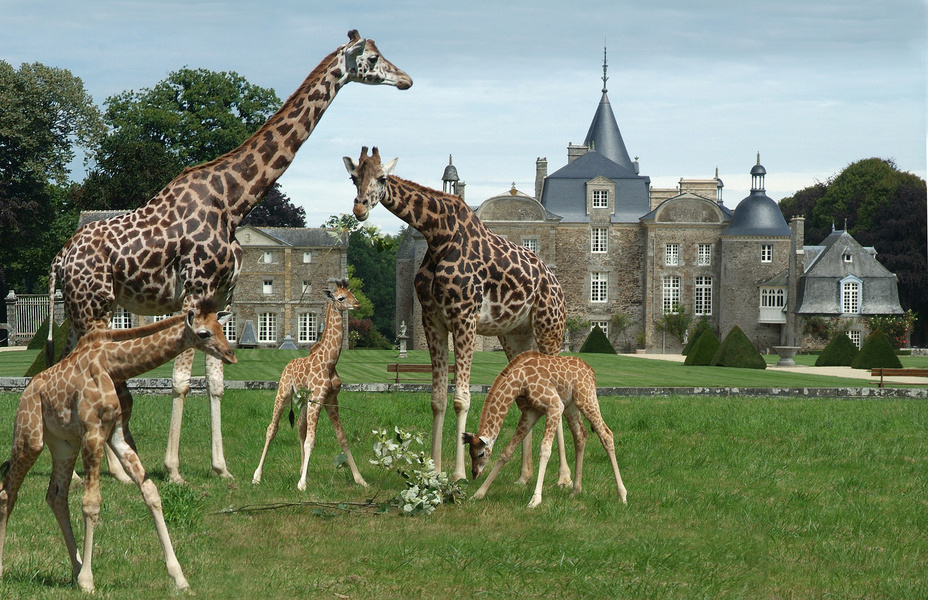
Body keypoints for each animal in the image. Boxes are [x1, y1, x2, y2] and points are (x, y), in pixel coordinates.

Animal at [0, 298, 236, 592]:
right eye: (204, 333)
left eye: (222, 328)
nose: (230, 354)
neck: (113, 365)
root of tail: (26, 391)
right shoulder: (93, 432)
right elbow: (91, 503)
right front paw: (88, 582)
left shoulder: (116, 434)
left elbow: (150, 492)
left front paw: (180, 578)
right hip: (30, 436)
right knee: (8, 492)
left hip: (64, 444)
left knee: (55, 496)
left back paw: (76, 567)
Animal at [254, 278, 370, 490]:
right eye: (341, 298)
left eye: (352, 294)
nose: (357, 304)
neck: (330, 362)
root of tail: (287, 365)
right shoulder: (318, 397)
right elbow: (311, 440)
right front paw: (302, 484)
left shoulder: (331, 399)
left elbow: (342, 438)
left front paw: (360, 479)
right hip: (283, 392)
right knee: (271, 429)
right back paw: (257, 476)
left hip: (303, 400)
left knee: (300, 426)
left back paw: (300, 469)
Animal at [344, 146, 568, 482]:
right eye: (353, 177)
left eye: (382, 177)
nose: (359, 208)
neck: (437, 236)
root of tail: (557, 283)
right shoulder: (432, 320)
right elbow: (437, 399)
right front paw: (433, 470)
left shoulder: (465, 318)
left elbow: (462, 398)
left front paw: (460, 474)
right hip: (516, 335)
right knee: (527, 399)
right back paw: (524, 476)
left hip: (549, 330)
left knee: (560, 393)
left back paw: (565, 478)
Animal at [462, 352, 628, 510]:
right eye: (470, 453)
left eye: (480, 454)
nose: (474, 473)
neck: (520, 381)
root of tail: (591, 371)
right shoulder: (531, 413)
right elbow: (507, 451)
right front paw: (478, 494)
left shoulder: (555, 406)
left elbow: (545, 450)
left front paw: (535, 500)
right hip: (572, 406)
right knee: (581, 435)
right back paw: (575, 491)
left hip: (586, 398)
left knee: (606, 435)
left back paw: (622, 495)